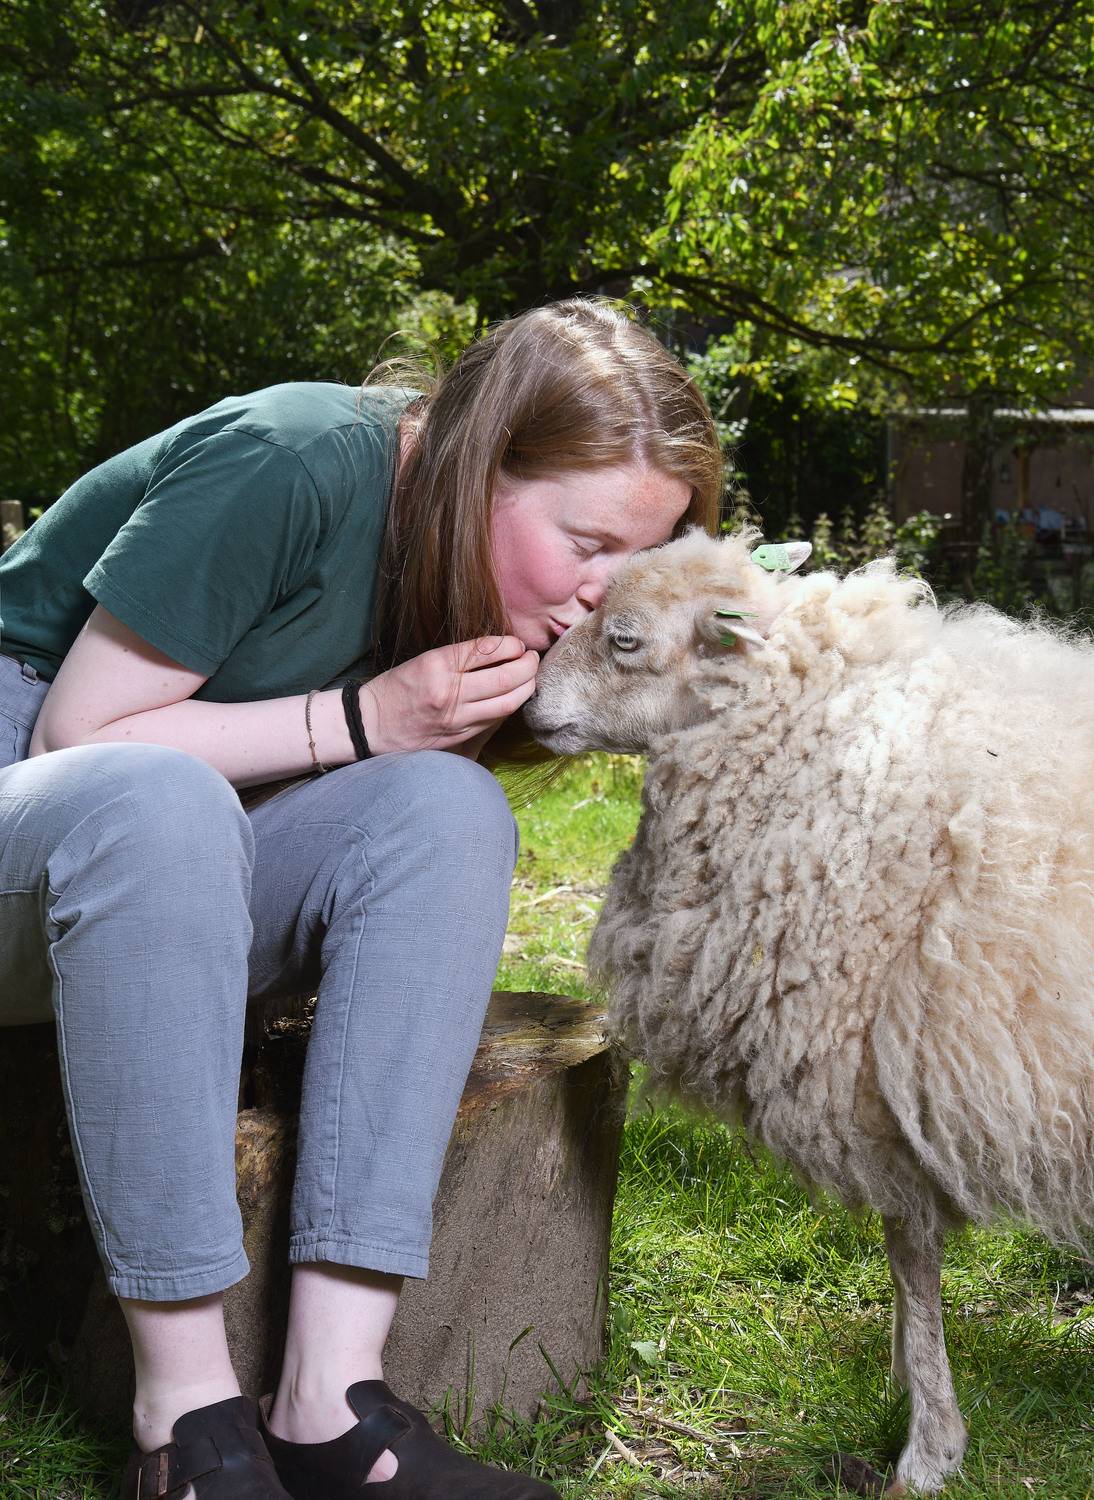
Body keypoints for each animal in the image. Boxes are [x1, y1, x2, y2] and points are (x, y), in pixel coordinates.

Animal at [523, 524, 1094, 1495]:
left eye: (625, 639)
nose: (528, 709)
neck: (810, 727)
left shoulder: (881, 1079)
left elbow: (911, 1257)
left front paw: (928, 1443)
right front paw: (903, 1383)